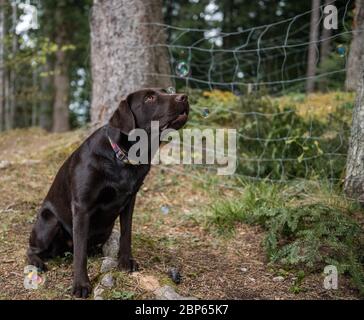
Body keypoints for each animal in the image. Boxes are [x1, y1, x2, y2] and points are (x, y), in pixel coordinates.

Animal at [27, 87, 189, 298]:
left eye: (166, 91)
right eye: (149, 98)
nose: (184, 97)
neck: (122, 158)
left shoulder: (130, 201)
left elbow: (126, 235)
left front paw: (125, 262)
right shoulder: (82, 207)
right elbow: (80, 253)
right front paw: (81, 284)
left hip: (104, 229)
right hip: (49, 222)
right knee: (32, 249)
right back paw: (37, 262)